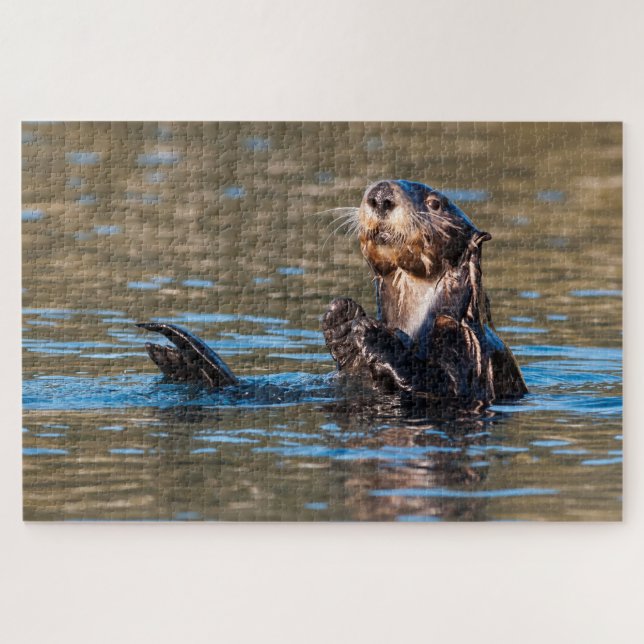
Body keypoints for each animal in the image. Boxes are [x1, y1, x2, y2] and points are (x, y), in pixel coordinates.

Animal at [137, 180, 527, 404]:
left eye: (435, 203)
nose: (380, 195)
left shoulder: (466, 345)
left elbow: (444, 385)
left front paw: (374, 334)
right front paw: (341, 319)